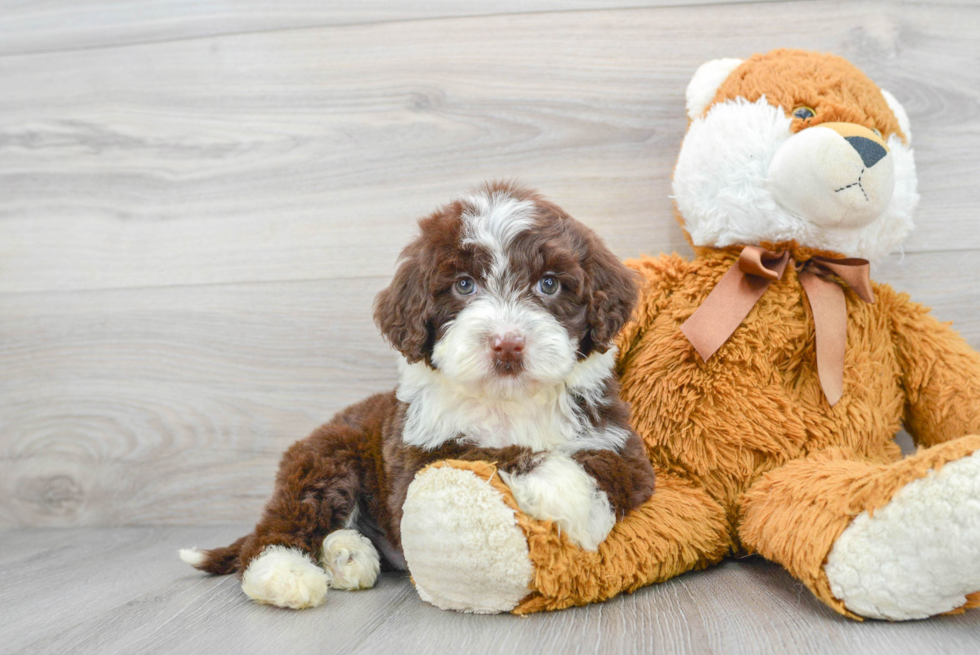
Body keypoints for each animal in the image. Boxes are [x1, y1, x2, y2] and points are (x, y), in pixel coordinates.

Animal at [180, 181, 656, 608]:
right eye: (463, 285)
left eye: (550, 284)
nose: (507, 344)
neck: (508, 402)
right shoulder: (418, 455)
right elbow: (484, 453)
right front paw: (562, 494)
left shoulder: (616, 440)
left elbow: (608, 469)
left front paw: (582, 510)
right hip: (327, 461)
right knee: (279, 528)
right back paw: (284, 574)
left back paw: (346, 557)